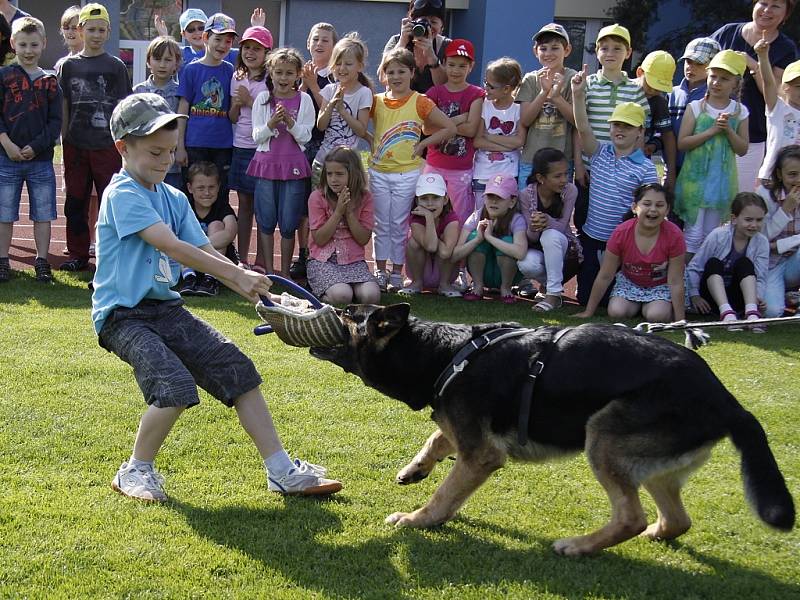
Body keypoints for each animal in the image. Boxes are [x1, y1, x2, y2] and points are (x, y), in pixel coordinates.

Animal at [310, 304, 792, 552]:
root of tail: (729, 402)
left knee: (630, 516)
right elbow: (437, 435)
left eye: (348, 316)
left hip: (603, 435)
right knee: (676, 520)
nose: (324, 302)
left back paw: (580, 545)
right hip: (651, 462)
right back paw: (653, 533)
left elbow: (446, 494)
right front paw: (416, 469)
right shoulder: (463, 429)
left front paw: (417, 520)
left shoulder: (481, 453)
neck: (446, 351)